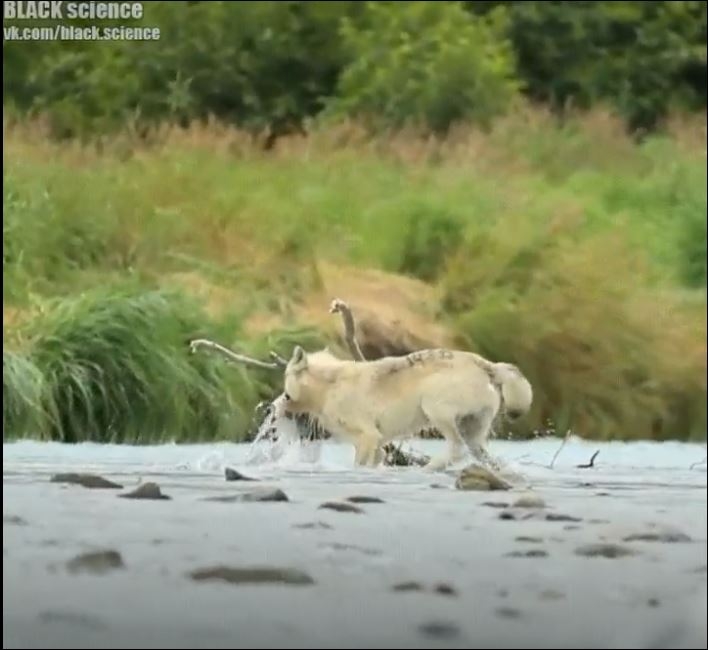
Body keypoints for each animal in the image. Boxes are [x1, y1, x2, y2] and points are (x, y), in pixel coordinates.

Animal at [280, 342, 532, 468]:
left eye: (285, 377)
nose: (280, 401)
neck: (329, 384)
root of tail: (486, 364)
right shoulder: (378, 445)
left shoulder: (367, 436)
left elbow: (358, 464)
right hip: (473, 431)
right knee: (480, 454)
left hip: (435, 408)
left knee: (457, 448)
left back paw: (431, 468)